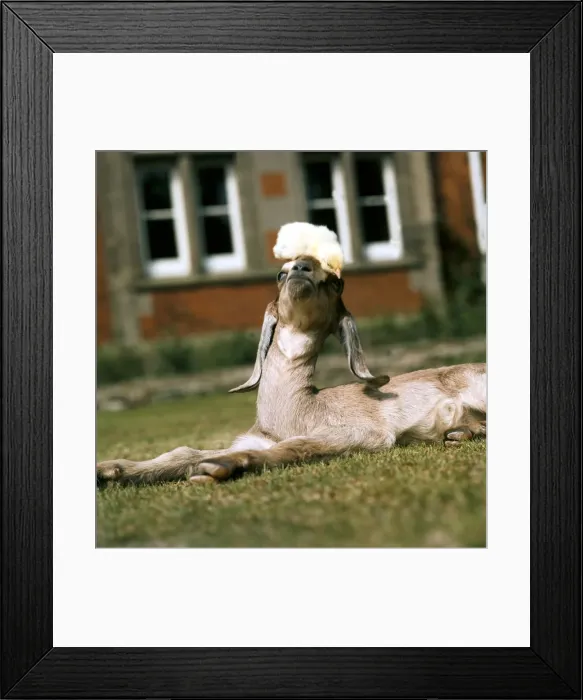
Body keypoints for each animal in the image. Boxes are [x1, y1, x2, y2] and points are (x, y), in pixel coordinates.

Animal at [97, 255, 486, 486]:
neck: (294, 412)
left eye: (336, 281)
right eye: (280, 274)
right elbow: (183, 452)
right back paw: (459, 432)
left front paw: (220, 468)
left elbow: (298, 446)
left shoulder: (366, 432)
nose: (302, 266)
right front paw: (109, 470)